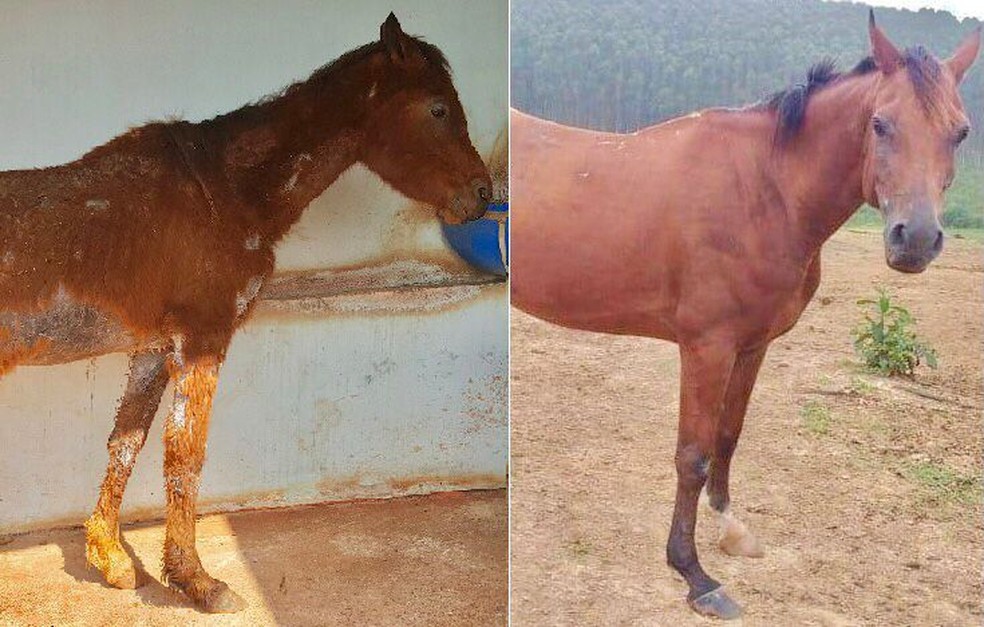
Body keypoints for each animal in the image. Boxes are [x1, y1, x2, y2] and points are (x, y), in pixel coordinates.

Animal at [0, 13, 490, 612]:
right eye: (438, 109)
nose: (483, 194)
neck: (222, 191)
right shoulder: (202, 340)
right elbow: (185, 456)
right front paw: (197, 581)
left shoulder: (154, 349)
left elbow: (127, 440)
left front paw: (111, 557)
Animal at [512, 13, 980, 620]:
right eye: (880, 124)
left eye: (960, 133)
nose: (916, 240)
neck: (764, 189)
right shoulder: (706, 347)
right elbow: (692, 455)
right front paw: (694, 575)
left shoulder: (753, 345)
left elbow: (728, 436)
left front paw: (730, 530)